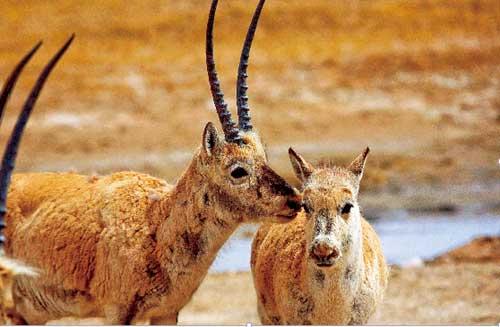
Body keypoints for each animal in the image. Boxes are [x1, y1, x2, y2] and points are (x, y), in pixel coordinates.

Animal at [0, 0, 300, 324]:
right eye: (237, 170)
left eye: (263, 157)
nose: (294, 201)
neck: (155, 223)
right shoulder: (117, 313)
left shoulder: (167, 312)